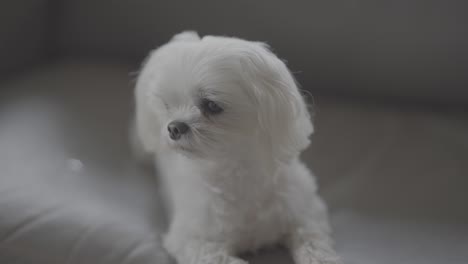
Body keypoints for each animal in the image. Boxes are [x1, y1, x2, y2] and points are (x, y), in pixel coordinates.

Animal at [133, 31, 342, 264]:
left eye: (212, 105)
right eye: (167, 104)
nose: (174, 127)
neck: (236, 174)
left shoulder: (306, 212)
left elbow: (314, 241)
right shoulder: (194, 240)